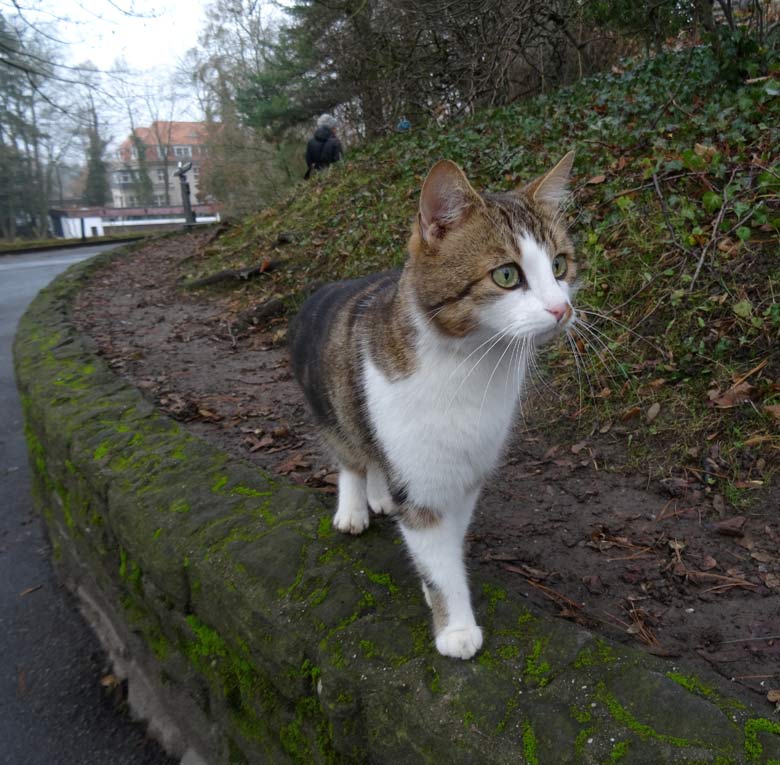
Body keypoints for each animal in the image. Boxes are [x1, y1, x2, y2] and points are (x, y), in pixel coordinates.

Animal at [290, 154, 576, 656]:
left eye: (560, 265)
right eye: (506, 275)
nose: (562, 310)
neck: (474, 368)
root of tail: (325, 288)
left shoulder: (466, 472)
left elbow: (449, 544)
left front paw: (434, 584)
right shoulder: (421, 478)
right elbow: (435, 552)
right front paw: (455, 627)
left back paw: (380, 495)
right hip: (331, 402)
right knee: (351, 455)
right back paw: (355, 507)